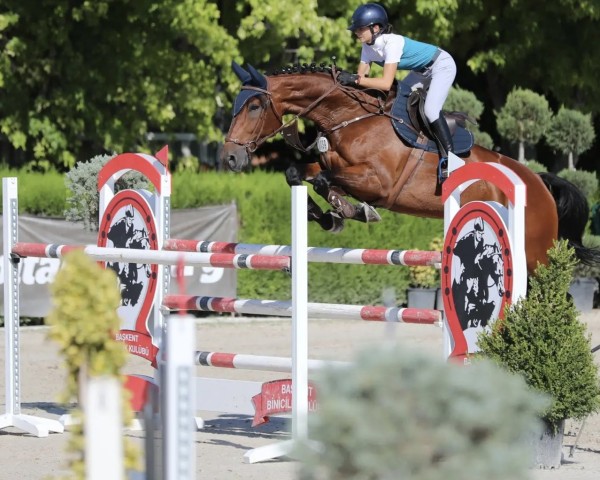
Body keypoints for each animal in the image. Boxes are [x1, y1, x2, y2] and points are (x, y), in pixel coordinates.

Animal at [221, 62, 600, 274]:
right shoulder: (329, 162)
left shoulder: (379, 183)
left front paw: (351, 211)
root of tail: (539, 183)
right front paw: (329, 217)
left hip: (534, 255)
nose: (230, 158)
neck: (348, 118)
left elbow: (325, 180)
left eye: (254, 106)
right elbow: (299, 174)